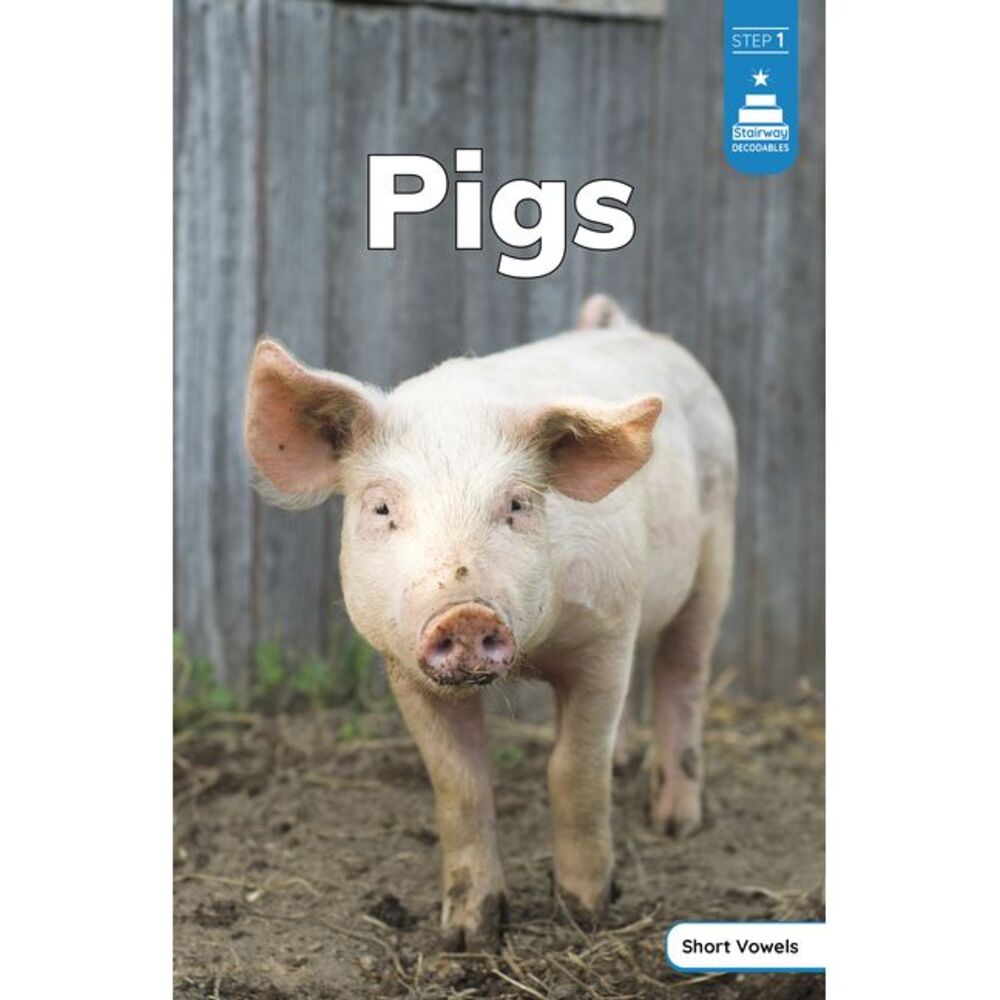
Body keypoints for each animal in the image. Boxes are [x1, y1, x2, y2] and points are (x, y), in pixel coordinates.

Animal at [243, 294, 737, 951]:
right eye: (382, 507)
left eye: (517, 505)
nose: (466, 611)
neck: (536, 653)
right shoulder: (403, 666)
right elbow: (460, 783)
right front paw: (467, 936)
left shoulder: (607, 628)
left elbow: (573, 768)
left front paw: (585, 913)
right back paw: (628, 765)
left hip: (717, 548)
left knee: (684, 672)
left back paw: (675, 823)